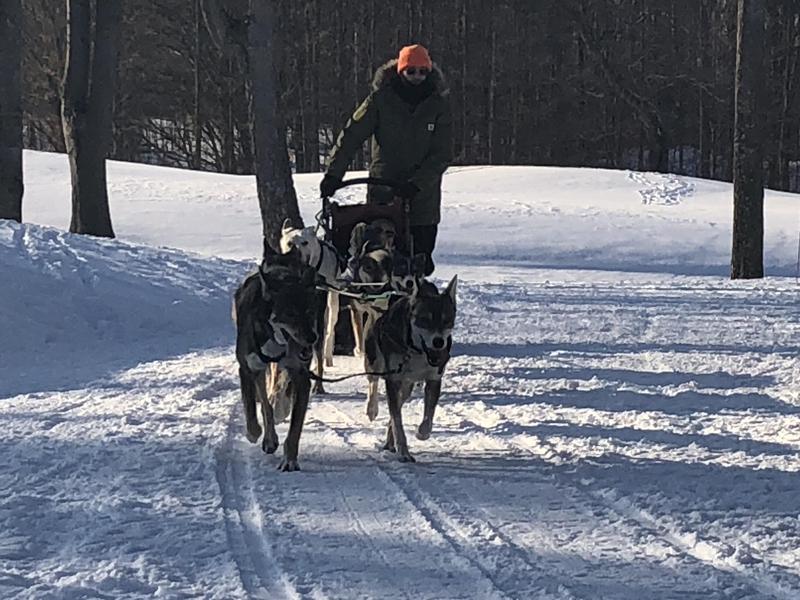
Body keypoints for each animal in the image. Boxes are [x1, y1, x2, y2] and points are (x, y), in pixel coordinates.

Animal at [233, 241, 320, 472]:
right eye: (290, 313)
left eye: (309, 311)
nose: (312, 338)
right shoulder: (247, 368)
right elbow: (253, 413)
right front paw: (256, 435)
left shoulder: (301, 377)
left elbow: (295, 429)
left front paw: (289, 460)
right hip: (259, 371)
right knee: (265, 402)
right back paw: (269, 437)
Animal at [364, 274, 456, 462]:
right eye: (425, 320)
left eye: (447, 321)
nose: (438, 342)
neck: (416, 350)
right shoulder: (393, 379)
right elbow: (397, 421)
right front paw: (404, 452)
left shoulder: (434, 379)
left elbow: (428, 415)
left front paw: (422, 433)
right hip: (374, 361)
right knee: (373, 382)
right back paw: (372, 409)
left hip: (407, 386)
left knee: (397, 405)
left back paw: (389, 442)